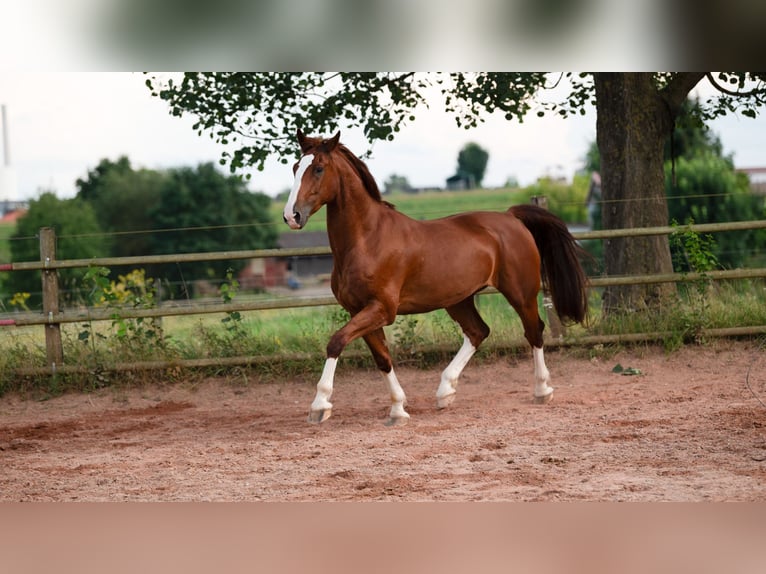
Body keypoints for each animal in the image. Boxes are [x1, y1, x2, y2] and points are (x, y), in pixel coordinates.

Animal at [284, 133, 592, 426]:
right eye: (295, 167)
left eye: (319, 168)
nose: (291, 216)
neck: (367, 240)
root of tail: (511, 217)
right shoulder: (359, 310)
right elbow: (382, 359)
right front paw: (398, 410)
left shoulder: (382, 309)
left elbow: (336, 342)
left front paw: (320, 406)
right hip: (459, 299)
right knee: (478, 332)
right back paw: (445, 392)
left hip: (520, 292)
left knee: (534, 331)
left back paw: (542, 391)